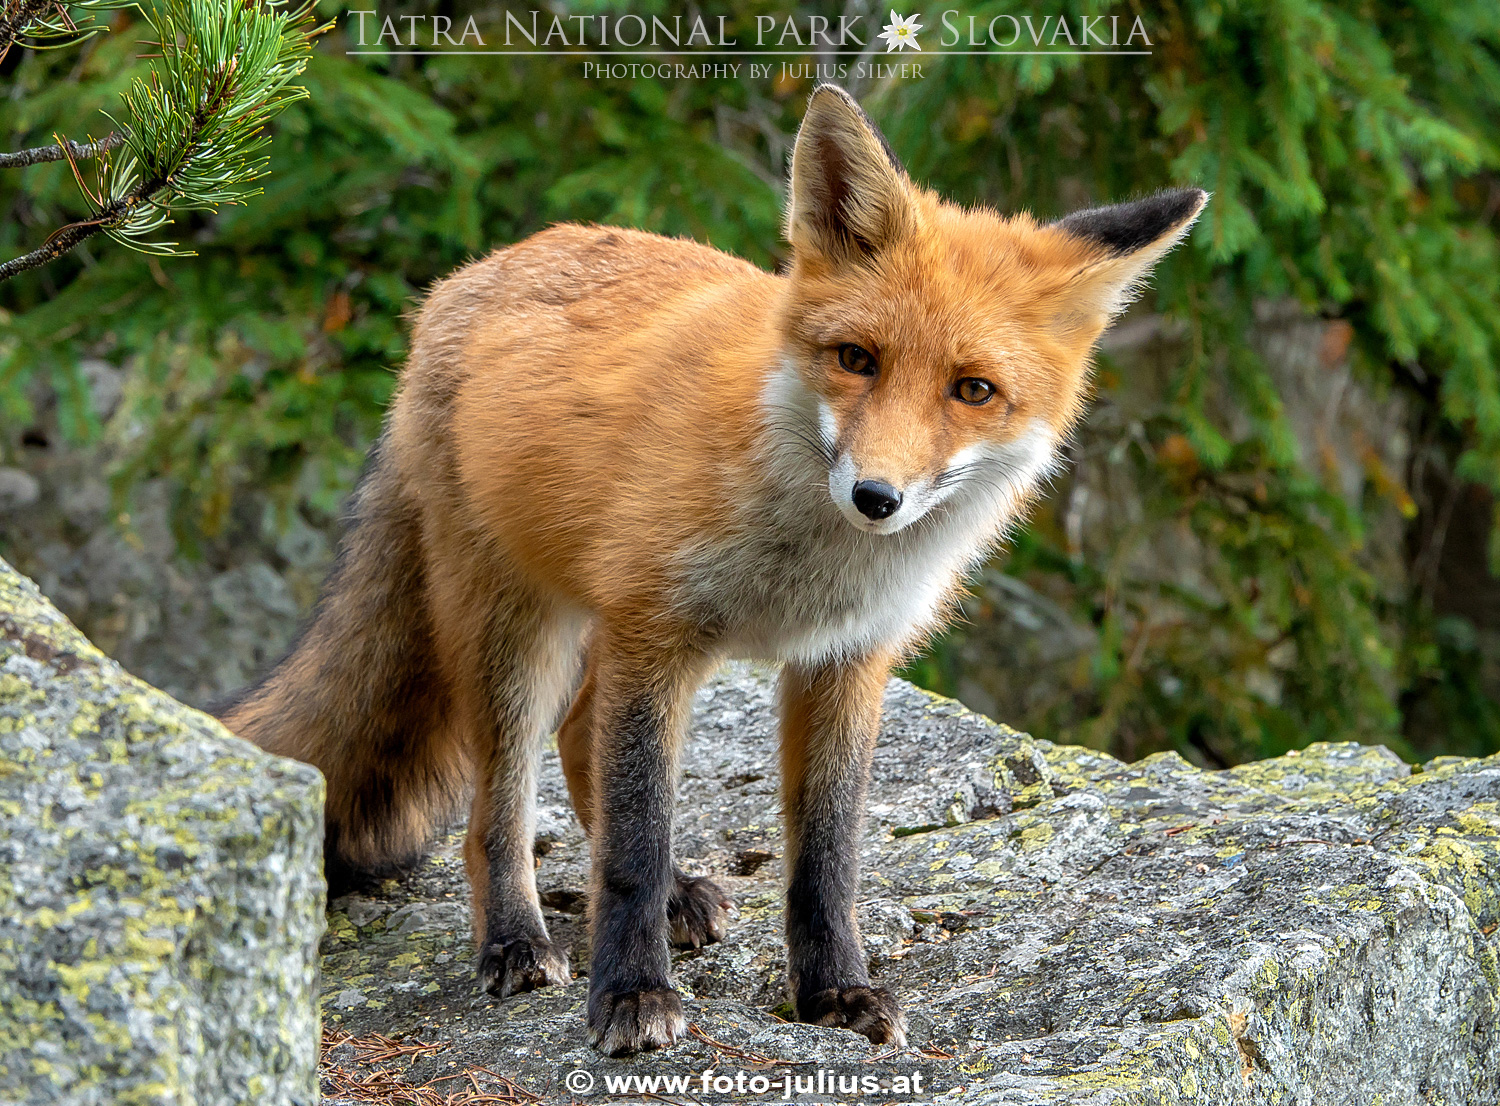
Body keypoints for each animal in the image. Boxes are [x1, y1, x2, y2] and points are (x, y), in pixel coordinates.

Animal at [219, 84, 1206, 1050]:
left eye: (973, 390)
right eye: (857, 359)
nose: (876, 497)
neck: (808, 562)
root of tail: (473, 273)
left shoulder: (844, 660)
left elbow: (826, 855)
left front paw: (835, 991)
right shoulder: (653, 632)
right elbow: (634, 844)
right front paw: (631, 995)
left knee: (576, 738)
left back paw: (677, 897)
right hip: (516, 629)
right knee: (499, 809)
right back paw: (515, 939)